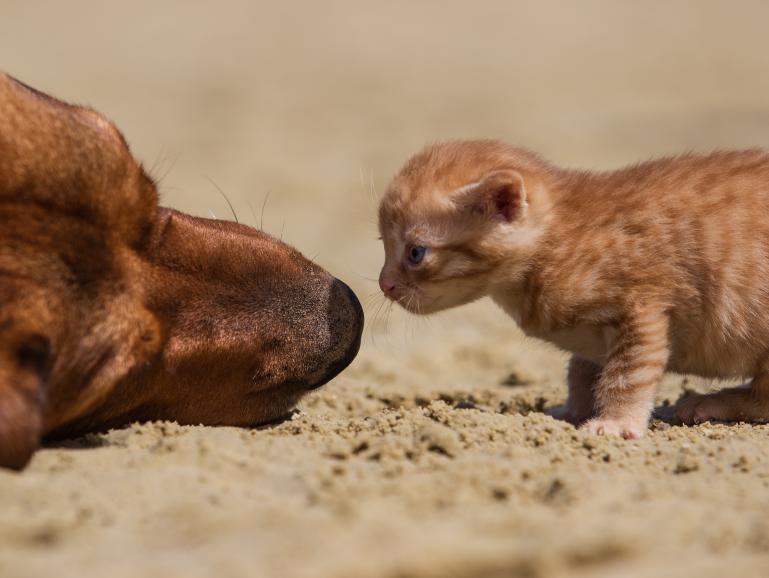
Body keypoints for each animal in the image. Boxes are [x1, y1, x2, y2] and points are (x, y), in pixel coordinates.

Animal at [380, 140, 769, 436]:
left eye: (415, 252)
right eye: (383, 242)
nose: (385, 285)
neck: (558, 242)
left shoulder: (642, 307)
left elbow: (628, 374)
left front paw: (615, 422)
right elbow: (581, 370)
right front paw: (572, 411)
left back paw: (712, 401)